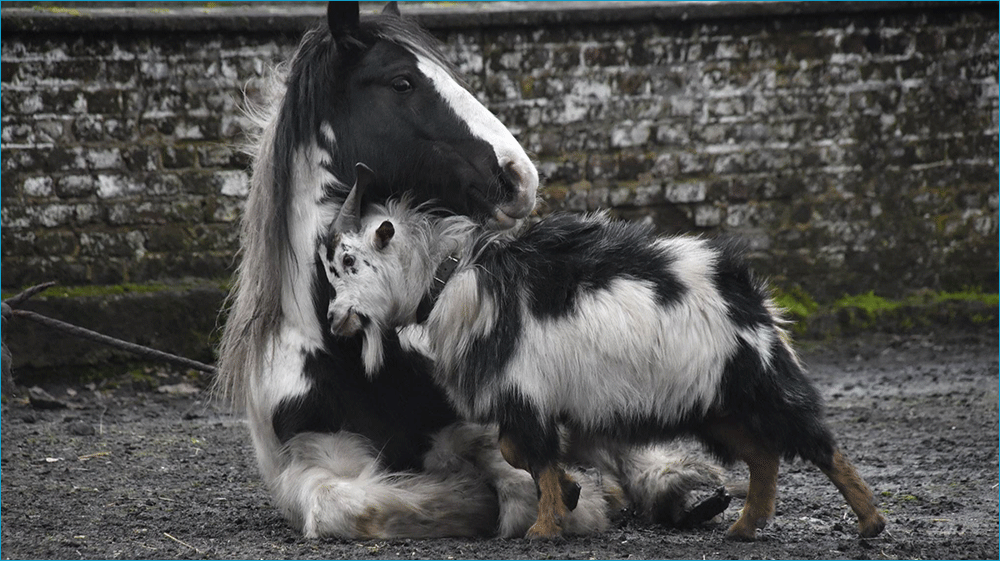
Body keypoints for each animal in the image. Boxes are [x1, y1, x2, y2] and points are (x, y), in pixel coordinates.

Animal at [215, 4, 728, 540]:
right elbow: (349, 505)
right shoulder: (305, 467)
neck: (354, 363)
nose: (520, 177)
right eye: (402, 83)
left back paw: (679, 485)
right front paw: (455, 498)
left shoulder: (491, 418)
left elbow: (523, 485)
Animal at [318, 165, 884, 540]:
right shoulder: (526, 401)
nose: (334, 318)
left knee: (819, 444)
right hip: (715, 405)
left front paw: (544, 529)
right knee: (764, 454)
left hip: (761, 385)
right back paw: (745, 526)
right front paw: (570, 494)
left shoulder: (525, 393)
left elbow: (534, 454)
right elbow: (518, 453)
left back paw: (870, 522)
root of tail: (748, 293)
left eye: (348, 260)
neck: (448, 276)